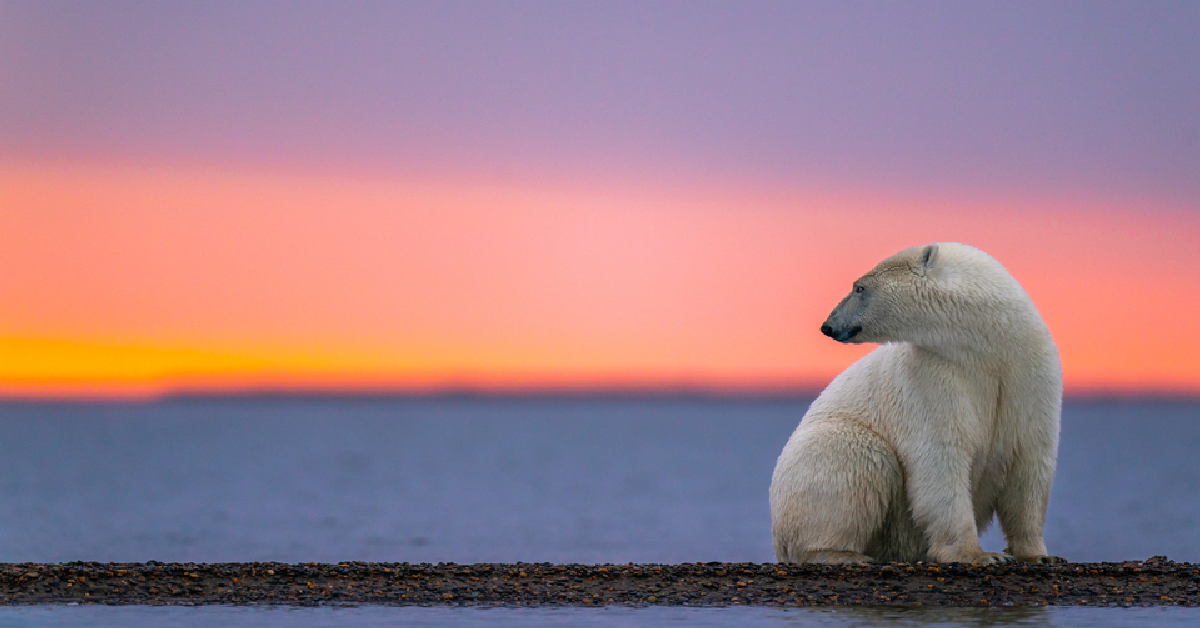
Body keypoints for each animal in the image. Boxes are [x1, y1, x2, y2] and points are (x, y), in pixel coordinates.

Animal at [768, 242, 1060, 564]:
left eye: (859, 287)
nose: (828, 325)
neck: (988, 348)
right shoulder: (932, 376)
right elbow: (941, 457)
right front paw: (979, 555)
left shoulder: (1029, 375)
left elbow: (1029, 463)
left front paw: (1038, 555)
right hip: (823, 452)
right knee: (857, 457)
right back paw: (842, 554)